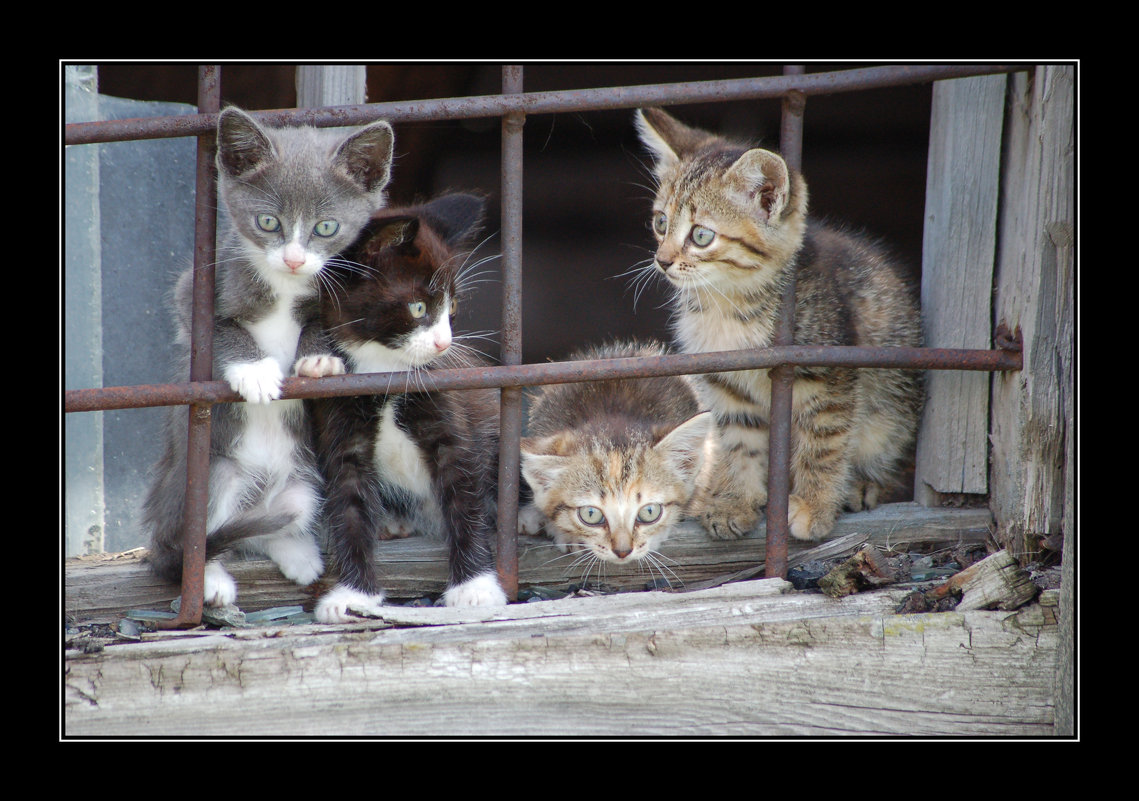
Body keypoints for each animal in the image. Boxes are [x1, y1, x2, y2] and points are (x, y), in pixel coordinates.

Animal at [142, 106, 396, 606]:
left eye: (326, 227)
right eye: (267, 223)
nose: (295, 260)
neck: (283, 286)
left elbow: (321, 326)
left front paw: (319, 361)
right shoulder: (196, 290)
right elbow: (220, 330)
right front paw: (256, 371)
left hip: (304, 484)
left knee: (263, 528)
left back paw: (298, 553)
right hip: (211, 474)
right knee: (197, 540)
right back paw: (211, 580)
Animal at [312, 191, 507, 624]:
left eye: (453, 308)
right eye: (418, 308)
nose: (444, 344)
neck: (385, 376)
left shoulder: (449, 417)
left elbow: (465, 497)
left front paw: (475, 586)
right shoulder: (341, 427)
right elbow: (348, 506)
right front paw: (353, 594)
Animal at [633, 106, 924, 542]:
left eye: (701, 236)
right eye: (660, 223)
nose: (662, 260)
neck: (727, 304)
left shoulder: (828, 377)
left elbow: (823, 443)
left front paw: (814, 506)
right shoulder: (727, 386)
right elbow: (737, 442)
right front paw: (733, 501)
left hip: (894, 403)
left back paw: (864, 485)